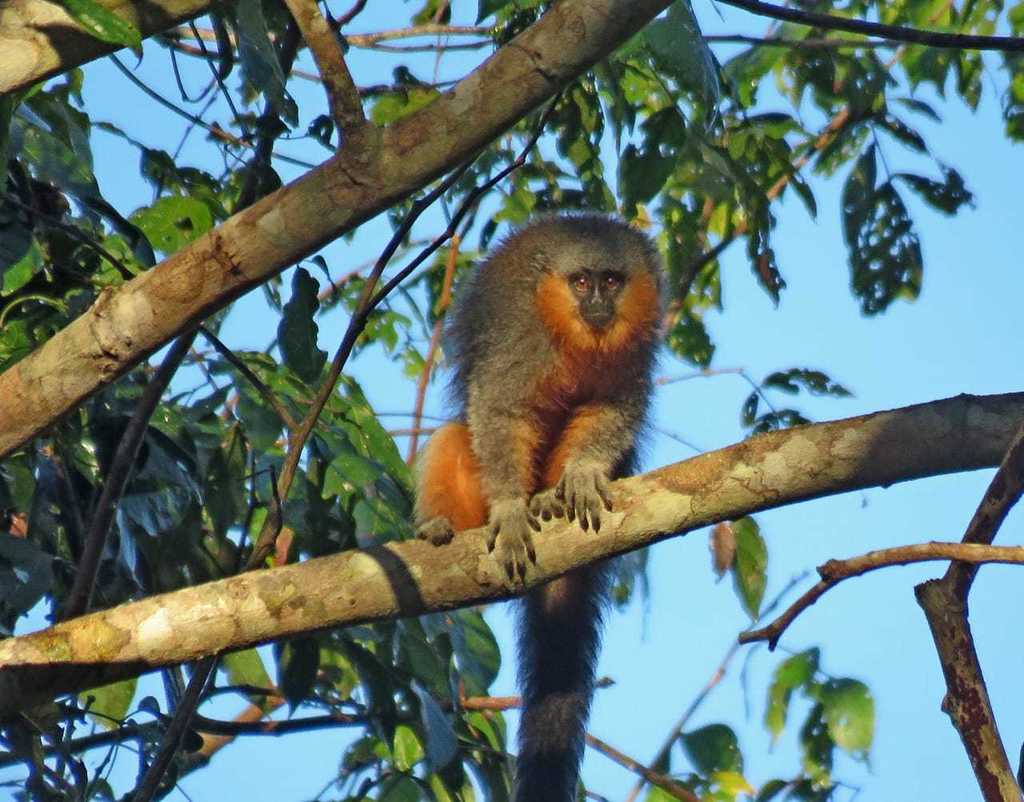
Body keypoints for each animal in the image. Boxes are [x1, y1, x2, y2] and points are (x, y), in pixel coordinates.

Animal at [414, 214, 662, 802]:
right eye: (581, 281)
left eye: (612, 281)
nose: (597, 302)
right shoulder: (519, 339)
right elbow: (499, 409)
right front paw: (508, 511)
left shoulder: (636, 348)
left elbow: (614, 409)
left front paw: (584, 474)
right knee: (456, 435)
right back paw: (442, 525)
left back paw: (551, 499)